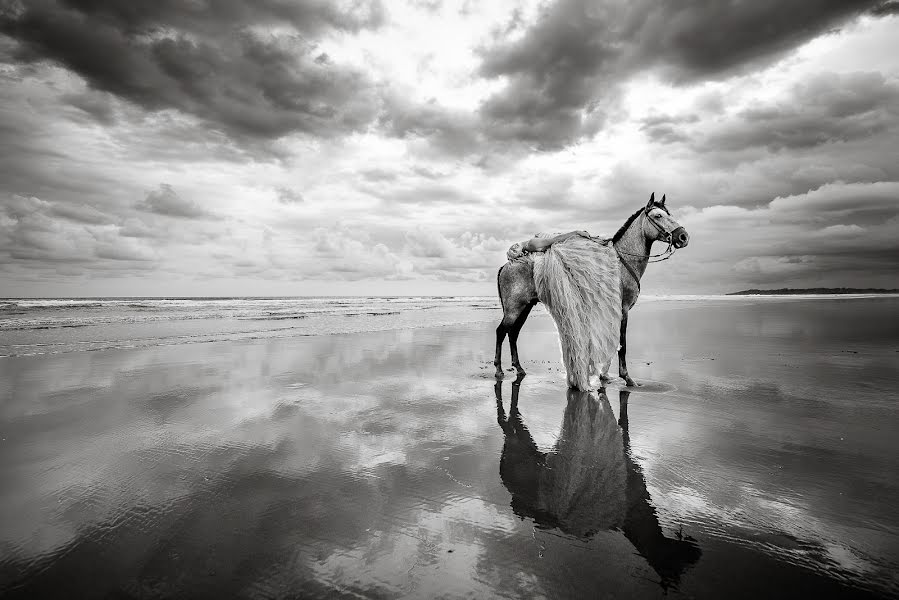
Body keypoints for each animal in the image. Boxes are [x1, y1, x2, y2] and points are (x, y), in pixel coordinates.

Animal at [496, 195, 692, 386]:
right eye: (658, 216)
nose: (683, 236)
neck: (622, 262)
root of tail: (507, 265)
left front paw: (604, 375)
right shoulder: (623, 310)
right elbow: (622, 343)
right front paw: (626, 377)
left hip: (525, 307)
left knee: (513, 333)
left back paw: (519, 369)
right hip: (514, 308)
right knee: (501, 331)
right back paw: (498, 370)